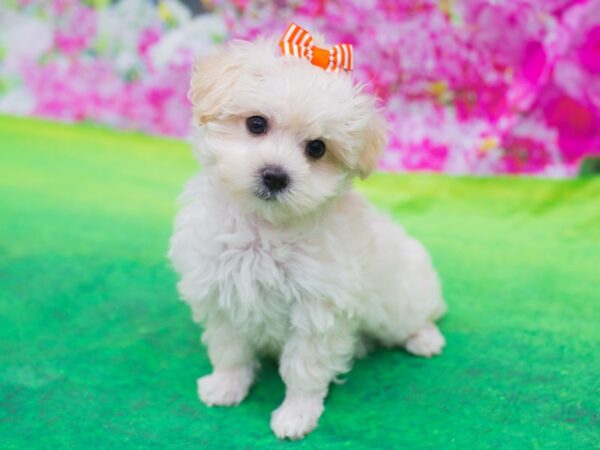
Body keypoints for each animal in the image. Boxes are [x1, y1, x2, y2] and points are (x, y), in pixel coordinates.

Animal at [169, 26, 446, 442]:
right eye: (256, 124)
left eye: (317, 148)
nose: (275, 175)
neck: (263, 227)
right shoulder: (219, 292)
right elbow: (230, 348)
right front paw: (227, 385)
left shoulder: (317, 310)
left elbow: (303, 368)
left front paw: (296, 414)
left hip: (398, 301)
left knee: (417, 316)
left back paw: (426, 338)